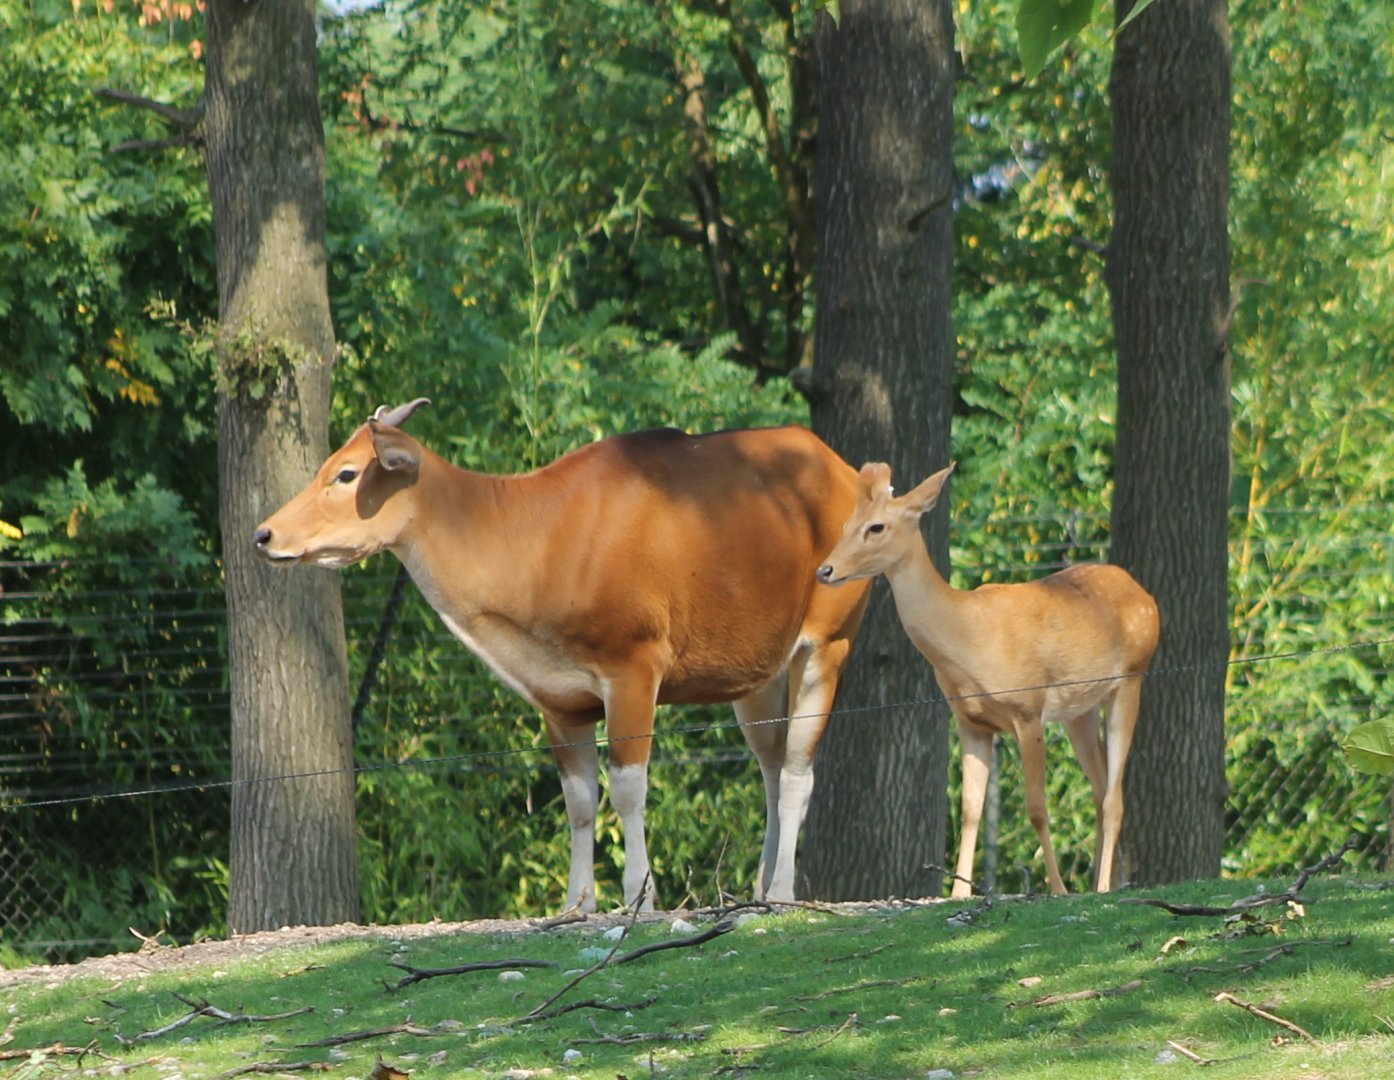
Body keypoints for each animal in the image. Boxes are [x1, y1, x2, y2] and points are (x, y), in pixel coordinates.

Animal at [253, 398, 871, 913]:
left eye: (346, 473)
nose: (264, 534)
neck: (537, 541)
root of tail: (841, 470)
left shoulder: (634, 672)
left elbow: (627, 789)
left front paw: (638, 897)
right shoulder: (559, 701)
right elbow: (579, 800)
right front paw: (578, 904)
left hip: (825, 645)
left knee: (796, 773)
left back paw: (784, 891)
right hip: (758, 677)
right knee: (771, 770)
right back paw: (761, 887)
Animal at [816, 461, 1160, 897]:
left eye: (876, 527)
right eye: (845, 523)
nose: (824, 570)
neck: (967, 643)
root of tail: (1146, 597)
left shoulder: (1027, 707)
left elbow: (1037, 807)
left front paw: (1057, 889)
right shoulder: (970, 721)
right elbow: (969, 809)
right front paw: (959, 892)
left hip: (1132, 676)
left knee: (1115, 797)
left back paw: (1098, 887)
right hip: (1078, 709)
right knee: (1100, 790)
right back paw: (1103, 882)